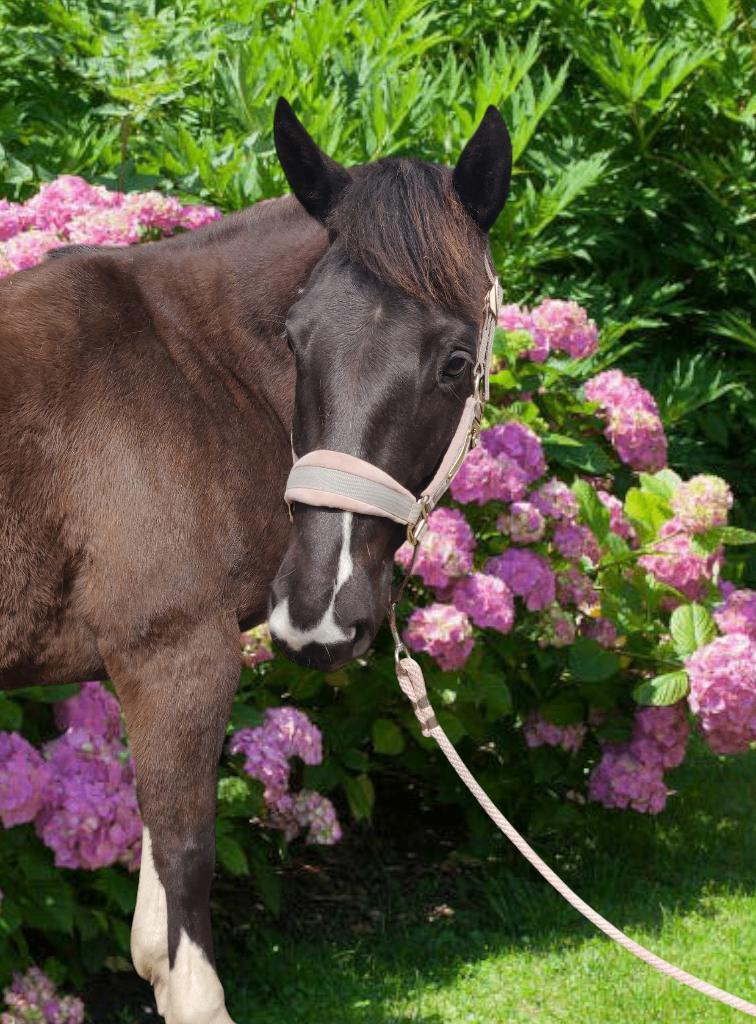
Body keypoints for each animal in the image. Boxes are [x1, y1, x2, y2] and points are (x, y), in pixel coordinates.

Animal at [0, 97, 511, 1023]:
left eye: (456, 360)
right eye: (296, 342)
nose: (318, 612)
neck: (183, 374)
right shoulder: (176, 655)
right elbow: (187, 861)